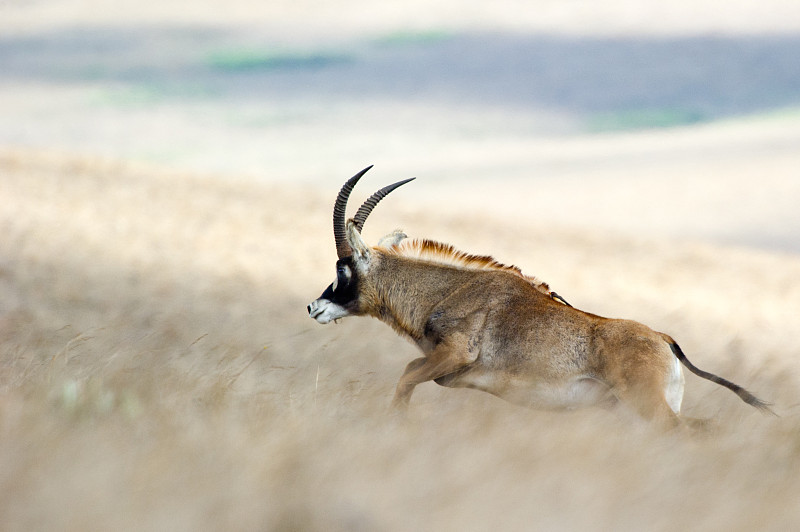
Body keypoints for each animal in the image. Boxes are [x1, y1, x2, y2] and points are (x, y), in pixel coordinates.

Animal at [308, 167, 776, 428]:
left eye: (342, 269)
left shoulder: (453, 357)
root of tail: (664, 340)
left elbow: (406, 376)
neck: (450, 291)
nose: (314, 307)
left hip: (648, 406)